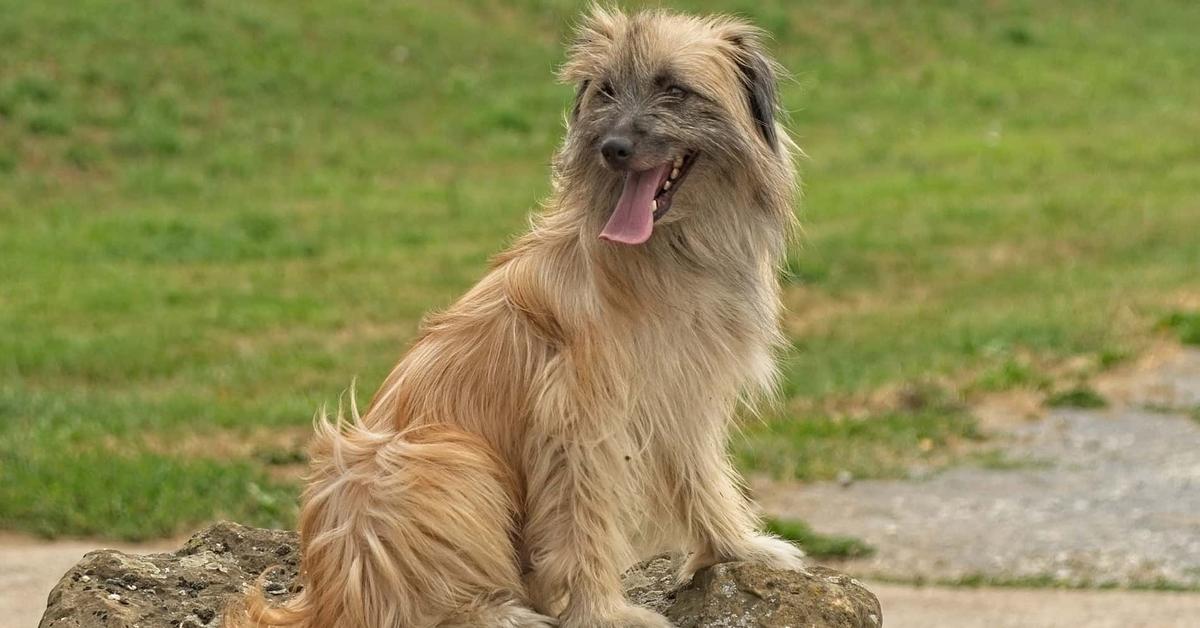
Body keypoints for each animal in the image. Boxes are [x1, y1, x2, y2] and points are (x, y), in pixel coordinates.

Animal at [228, 6, 801, 628]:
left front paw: (737, 546)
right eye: (606, 90)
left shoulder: (683, 394)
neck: (670, 251)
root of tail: (325, 596)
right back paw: (499, 612)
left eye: (673, 87)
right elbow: (583, 520)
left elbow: (702, 479)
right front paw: (603, 611)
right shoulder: (576, 418)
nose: (614, 148)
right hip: (441, 460)